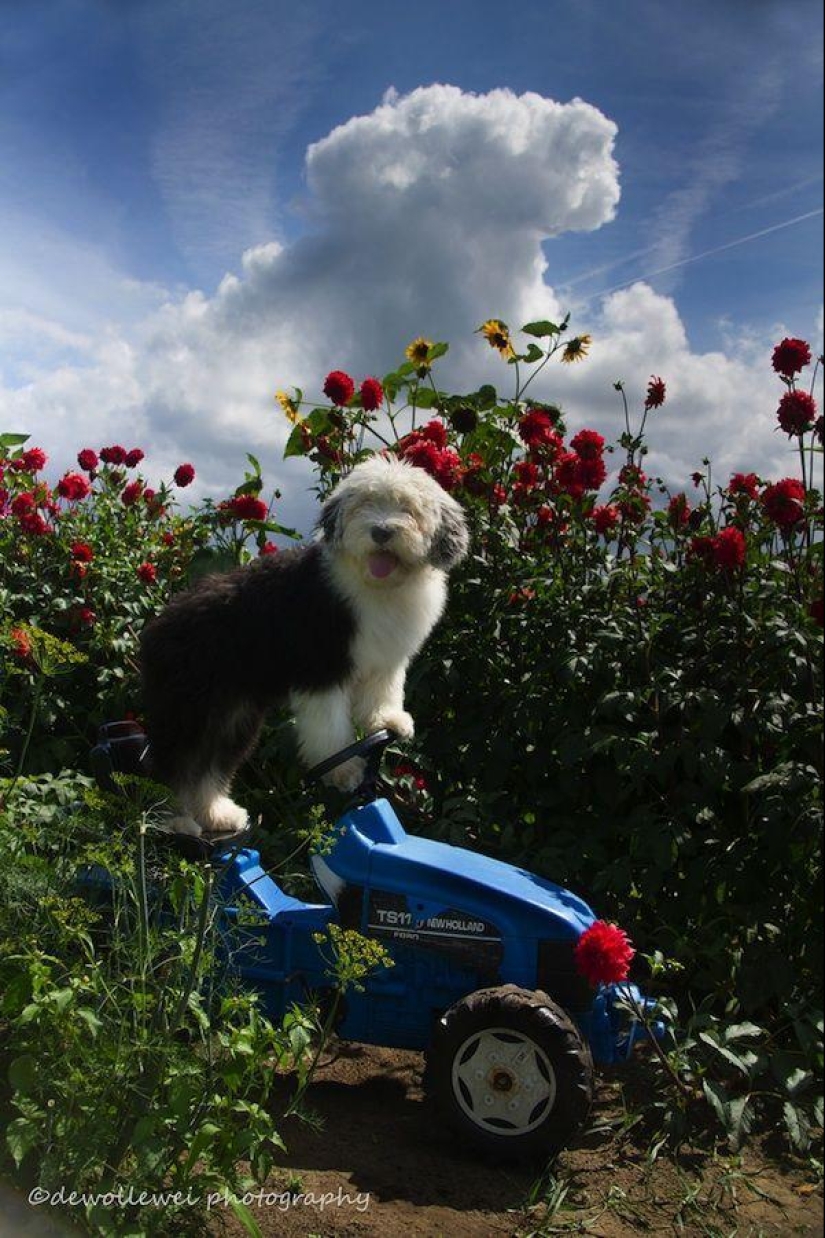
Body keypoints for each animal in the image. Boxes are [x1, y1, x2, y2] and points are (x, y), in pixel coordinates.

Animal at [138, 458, 465, 841]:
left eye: (408, 508)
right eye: (364, 504)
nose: (382, 532)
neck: (375, 586)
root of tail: (157, 627)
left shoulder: (385, 661)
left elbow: (381, 695)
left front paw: (388, 721)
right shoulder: (322, 667)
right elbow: (330, 728)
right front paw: (344, 771)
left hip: (232, 717)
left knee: (209, 768)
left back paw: (218, 815)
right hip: (188, 709)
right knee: (173, 764)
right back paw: (175, 821)